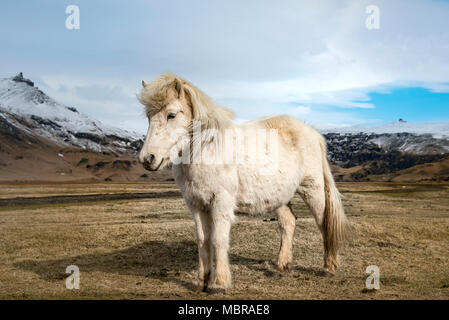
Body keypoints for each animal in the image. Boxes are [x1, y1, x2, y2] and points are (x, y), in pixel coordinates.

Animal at [138, 74, 348, 294]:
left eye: (171, 115)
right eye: (148, 116)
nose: (147, 159)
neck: (207, 149)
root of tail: (313, 133)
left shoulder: (220, 202)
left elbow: (218, 239)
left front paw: (219, 284)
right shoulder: (196, 204)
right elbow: (203, 240)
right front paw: (201, 282)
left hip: (312, 190)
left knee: (324, 224)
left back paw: (329, 267)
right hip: (281, 197)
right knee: (288, 223)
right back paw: (281, 267)